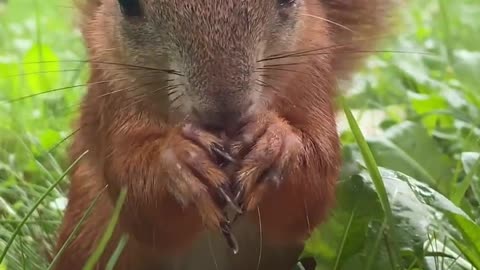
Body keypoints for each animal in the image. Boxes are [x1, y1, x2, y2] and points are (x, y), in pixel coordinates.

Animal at [52, 0, 394, 270]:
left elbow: (311, 192)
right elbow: (138, 198)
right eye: (128, 4)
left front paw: (275, 143)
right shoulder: (114, 93)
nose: (225, 111)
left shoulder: (311, 76)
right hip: (87, 236)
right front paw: (180, 160)